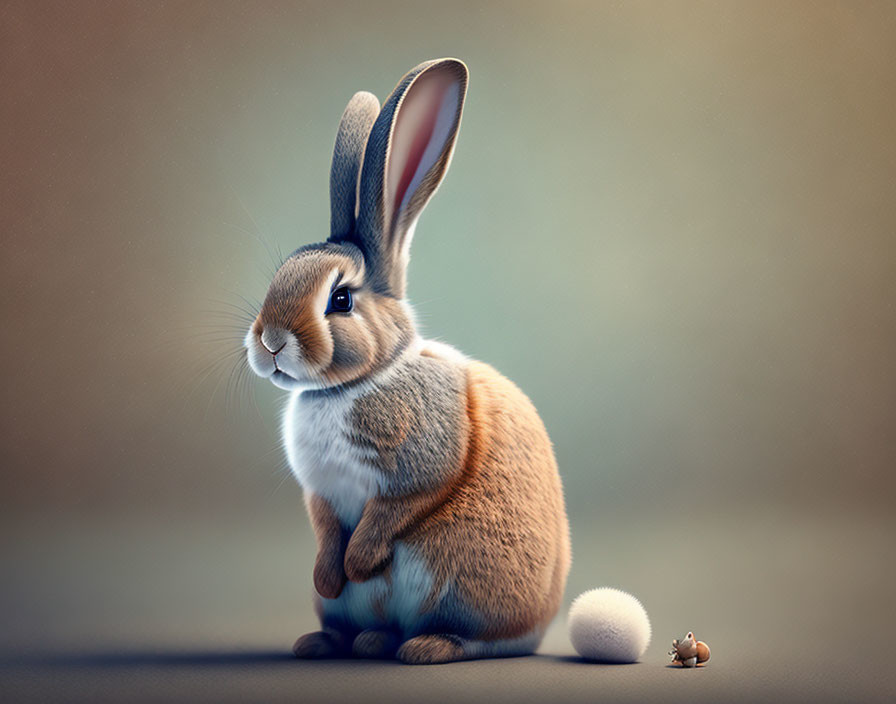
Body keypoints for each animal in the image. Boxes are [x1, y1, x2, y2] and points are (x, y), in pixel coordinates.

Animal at [243, 57, 568, 664]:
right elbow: (325, 525)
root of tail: (540, 623)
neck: (355, 383)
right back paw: (334, 642)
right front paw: (329, 575)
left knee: (478, 639)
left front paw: (358, 562)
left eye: (340, 300)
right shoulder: (320, 491)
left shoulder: (416, 470)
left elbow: (395, 508)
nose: (270, 341)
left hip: (460, 582)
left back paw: (425, 647)